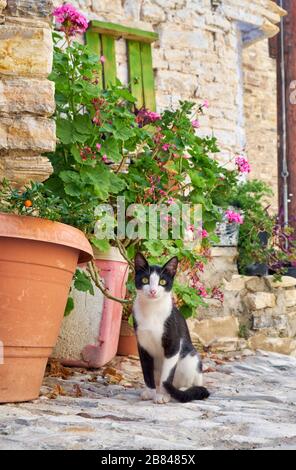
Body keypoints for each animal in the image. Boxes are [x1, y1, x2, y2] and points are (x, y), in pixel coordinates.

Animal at [133, 253, 209, 404]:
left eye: (162, 282)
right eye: (145, 280)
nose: (153, 291)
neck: (151, 311)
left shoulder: (173, 345)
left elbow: (166, 375)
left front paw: (162, 395)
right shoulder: (142, 346)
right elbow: (146, 371)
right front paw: (150, 392)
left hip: (190, 359)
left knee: (191, 383)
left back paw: (183, 391)